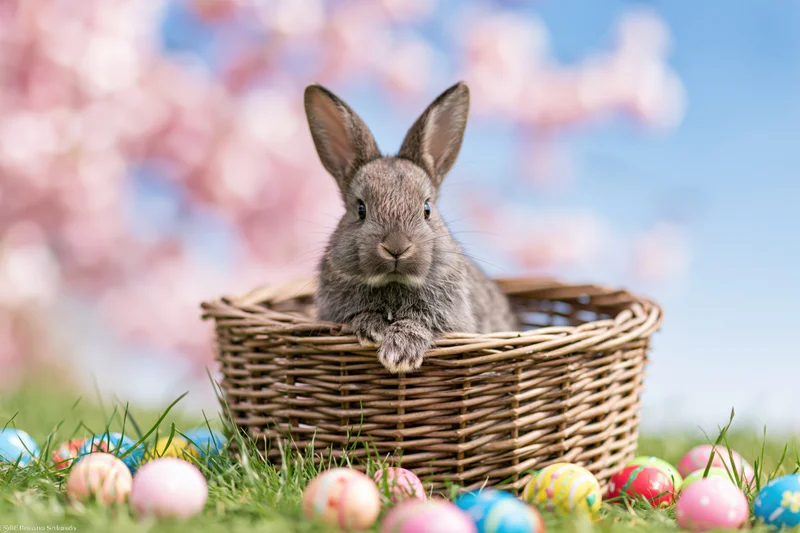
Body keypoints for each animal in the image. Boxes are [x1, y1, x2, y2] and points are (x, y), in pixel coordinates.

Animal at [304, 81, 518, 374]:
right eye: (360, 209)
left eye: (427, 209)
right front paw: (373, 330)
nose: (397, 247)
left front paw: (399, 354)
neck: (393, 282)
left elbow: (421, 322)